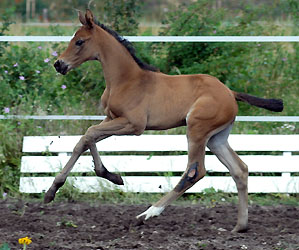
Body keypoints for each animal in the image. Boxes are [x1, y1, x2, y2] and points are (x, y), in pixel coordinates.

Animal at [47, 9, 284, 232]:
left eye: (79, 41)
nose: (59, 64)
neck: (126, 79)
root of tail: (230, 92)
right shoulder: (111, 118)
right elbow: (87, 138)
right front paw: (103, 178)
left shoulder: (134, 124)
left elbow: (89, 133)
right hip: (216, 138)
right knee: (239, 169)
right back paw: (240, 226)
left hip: (196, 129)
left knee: (195, 171)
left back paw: (146, 215)